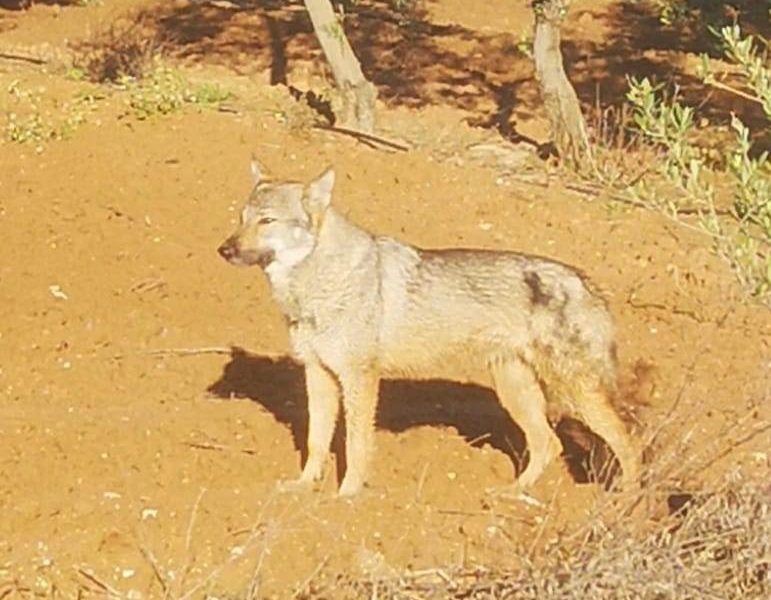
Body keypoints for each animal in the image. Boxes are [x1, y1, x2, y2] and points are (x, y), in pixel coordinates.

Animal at [218, 162, 641, 497]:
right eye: (241, 219)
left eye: (266, 221)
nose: (223, 250)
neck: (316, 286)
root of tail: (588, 282)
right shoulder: (317, 373)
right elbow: (316, 441)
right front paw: (303, 489)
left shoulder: (360, 379)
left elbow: (355, 445)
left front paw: (347, 497)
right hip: (516, 391)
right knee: (548, 445)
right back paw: (509, 494)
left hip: (576, 394)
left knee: (628, 444)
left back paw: (625, 505)